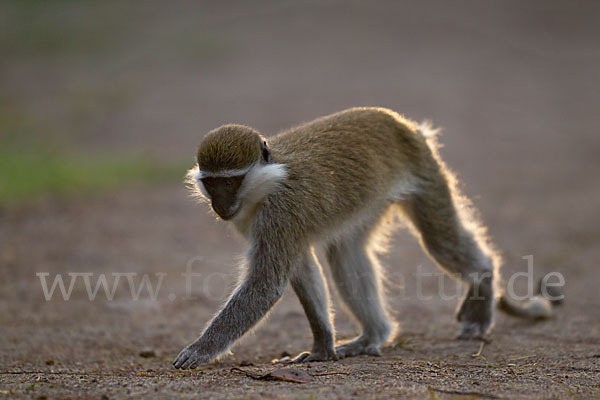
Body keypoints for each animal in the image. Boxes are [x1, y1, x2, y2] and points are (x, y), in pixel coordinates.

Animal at [171, 106, 556, 368]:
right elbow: (301, 268)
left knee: (439, 240)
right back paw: (374, 335)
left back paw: (483, 281)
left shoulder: (281, 213)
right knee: (346, 254)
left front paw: (199, 350)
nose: (220, 205)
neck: (269, 181)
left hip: (426, 173)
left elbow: (266, 285)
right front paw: (322, 347)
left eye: (230, 181)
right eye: (212, 183)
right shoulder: (269, 224)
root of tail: (402, 123)